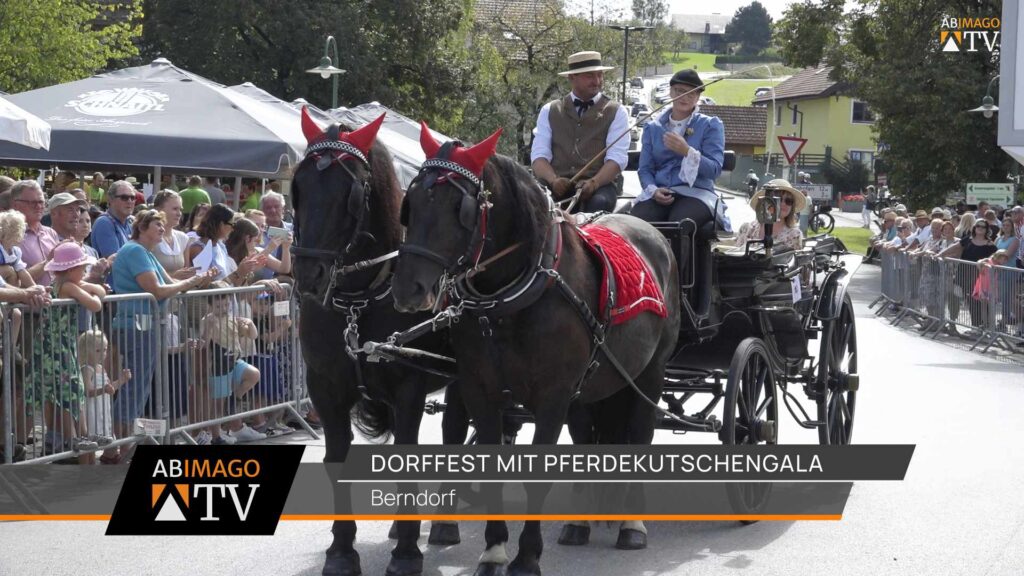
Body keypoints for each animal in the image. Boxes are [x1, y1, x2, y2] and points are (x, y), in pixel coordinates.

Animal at [288, 109, 464, 573]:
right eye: (299, 187)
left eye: (350, 194)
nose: (308, 276)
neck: (358, 301)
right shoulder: (325, 389)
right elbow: (336, 461)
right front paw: (341, 549)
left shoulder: (408, 390)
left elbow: (407, 460)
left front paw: (406, 551)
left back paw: (443, 522)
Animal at [391, 124, 679, 573]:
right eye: (413, 200)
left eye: (460, 207)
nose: (409, 289)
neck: (512, 299)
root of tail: (654, 235)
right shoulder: (481, 391)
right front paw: (494, 550)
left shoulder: (553, 396)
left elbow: (538, 475)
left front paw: (527, 556)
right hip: (594, 385)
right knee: (587, 439)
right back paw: (582, 522)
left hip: (649, 374)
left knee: (641, 433)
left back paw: (632, 523)